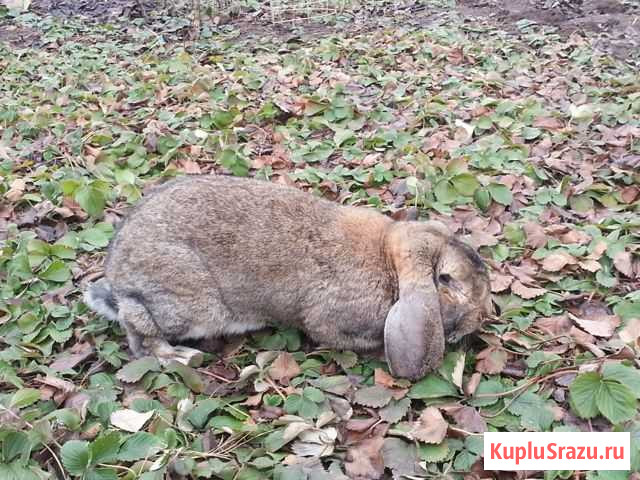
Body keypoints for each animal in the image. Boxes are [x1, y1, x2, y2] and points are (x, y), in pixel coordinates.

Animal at [85, 174, 492, 380]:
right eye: (447, 279)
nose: (482, 317)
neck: (388, 260)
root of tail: (118, 278)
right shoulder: (333, 322)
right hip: (191, 303)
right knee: (140, 334)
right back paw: (181, 357)